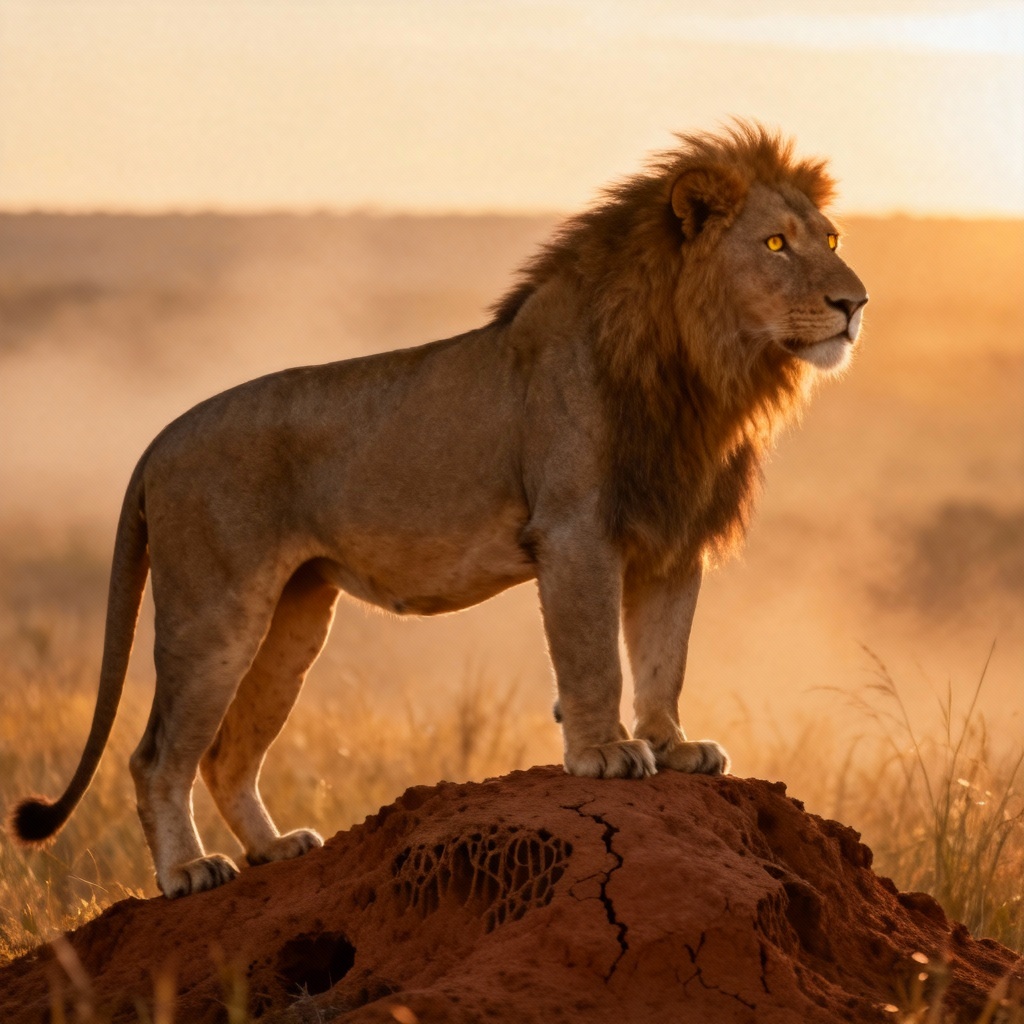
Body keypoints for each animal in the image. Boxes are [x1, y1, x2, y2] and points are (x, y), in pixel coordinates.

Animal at [11, 122, 867, 899]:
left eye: (830, 237)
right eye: (777, 244)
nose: (855, 302)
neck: (701, 373)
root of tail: (160, 439)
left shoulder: (672, 540)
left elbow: (664, 659)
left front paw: (675, 747)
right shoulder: (575, 530)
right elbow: (593, 657)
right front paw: (606, 754)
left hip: (295, 617)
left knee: (226, 753)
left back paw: (275, 849)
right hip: (214, 609)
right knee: (158, 755)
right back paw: (188, 872)